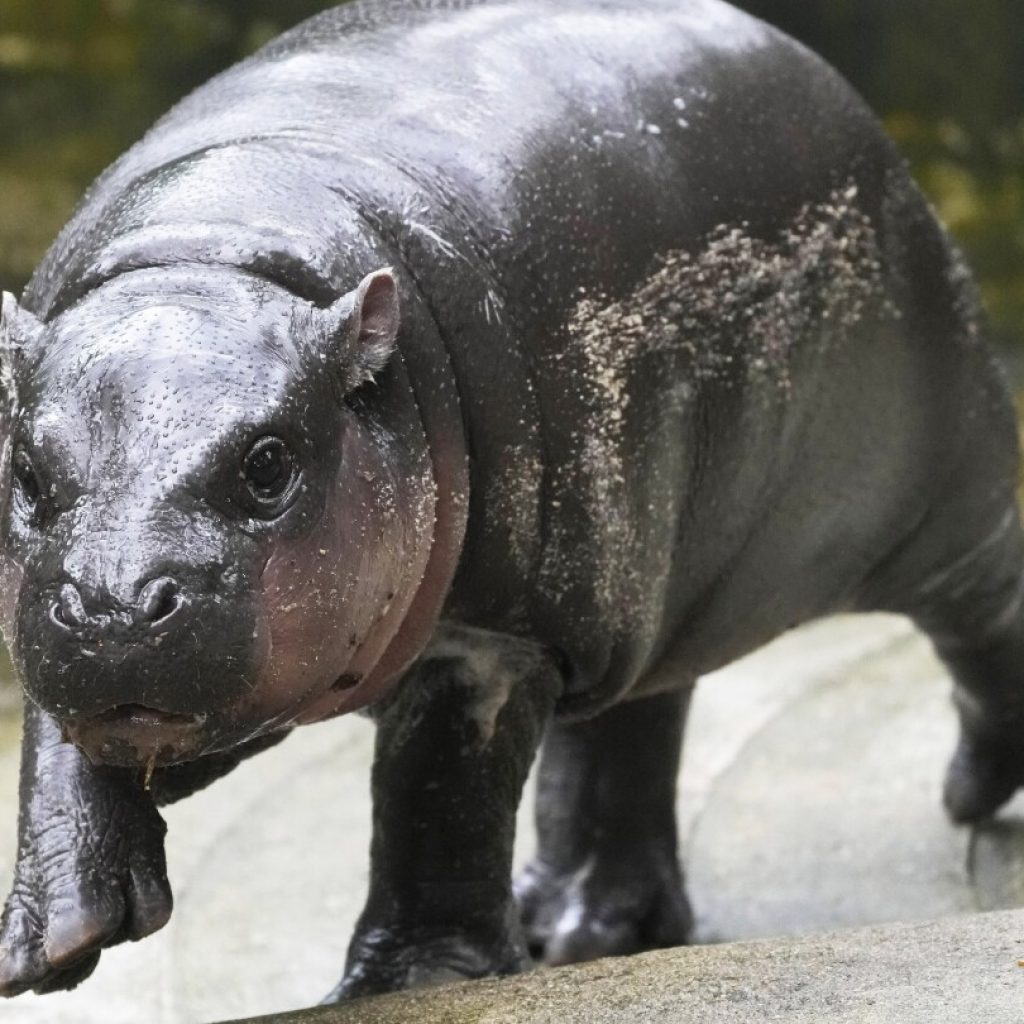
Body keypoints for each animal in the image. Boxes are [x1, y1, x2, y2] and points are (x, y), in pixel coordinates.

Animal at [2, 0, 1024, 1003]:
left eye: (267, 463)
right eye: (29, 473)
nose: (115, 608)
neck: (216, 256)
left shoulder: (500, 633)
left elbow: (441, 795)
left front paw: (409, 981)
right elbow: (54, 736)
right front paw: (55, 938)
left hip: (940, 474)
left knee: (985, 607)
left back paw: (970, 794)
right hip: (643, 577)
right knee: (629, 730)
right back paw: (578, 926)